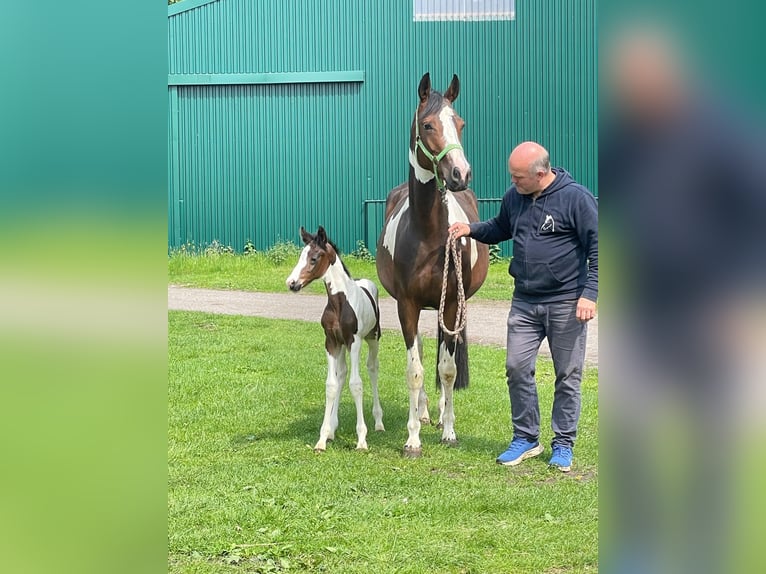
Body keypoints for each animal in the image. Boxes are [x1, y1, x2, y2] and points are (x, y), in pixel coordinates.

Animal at [286, 226, 384, 451]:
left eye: (314, 258)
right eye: (301, 256)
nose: (291, 283)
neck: (339, 302)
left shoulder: (354, 342)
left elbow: (356, 384)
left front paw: (361, 439)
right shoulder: (331, 342)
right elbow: (331, 384)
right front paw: (323, 438)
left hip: (372, 338)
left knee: (372, 369)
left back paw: (378, 422)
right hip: (341, 347)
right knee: (342, 374)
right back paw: (332, 427)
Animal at [376, 73, 489, 457]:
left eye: (460, 124)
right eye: (427, 125)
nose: (460, 173)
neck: (426, 232)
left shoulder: (452, 302)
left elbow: (448, 368)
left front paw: (449, 431)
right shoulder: (407, 305)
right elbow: (415, 370)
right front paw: (412, 438)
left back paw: (439, 414)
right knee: (424, 353)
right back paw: (425, 412)